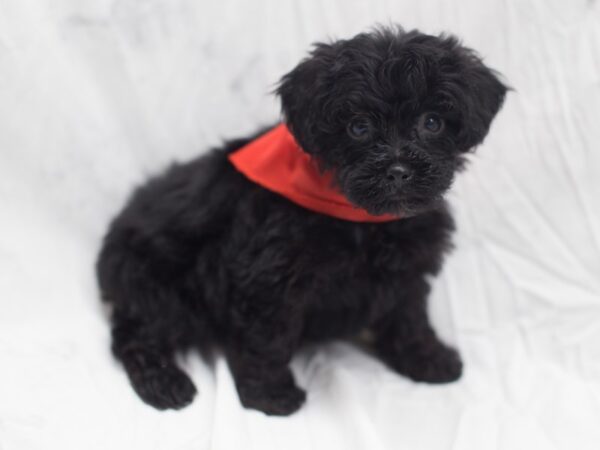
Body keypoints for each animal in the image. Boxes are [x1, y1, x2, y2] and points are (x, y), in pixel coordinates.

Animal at [97, 26, 506, 414]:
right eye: (358, 127)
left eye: (432, 122)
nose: (399, 170)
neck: (360, 217)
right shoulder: (267, 278)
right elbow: (266, 338)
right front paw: (270, 394)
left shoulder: (407, 269)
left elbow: (409, 316)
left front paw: (426, 358)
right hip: (159, 284)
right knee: (134, 334)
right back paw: (164, 383)